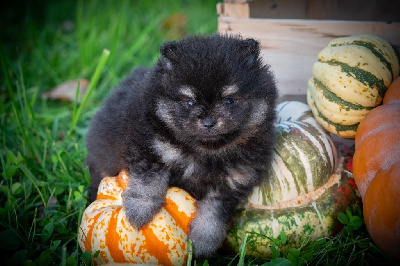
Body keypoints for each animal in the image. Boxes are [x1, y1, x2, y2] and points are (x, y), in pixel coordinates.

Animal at [85, 33, 278, 258]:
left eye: (229, 100)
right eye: (190, 102)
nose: (209, 122)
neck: (205, 152)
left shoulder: (231, 183)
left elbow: (213, 215)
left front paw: (202, 243)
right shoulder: (150, 149)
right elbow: (147, 183)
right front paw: (139, 211)